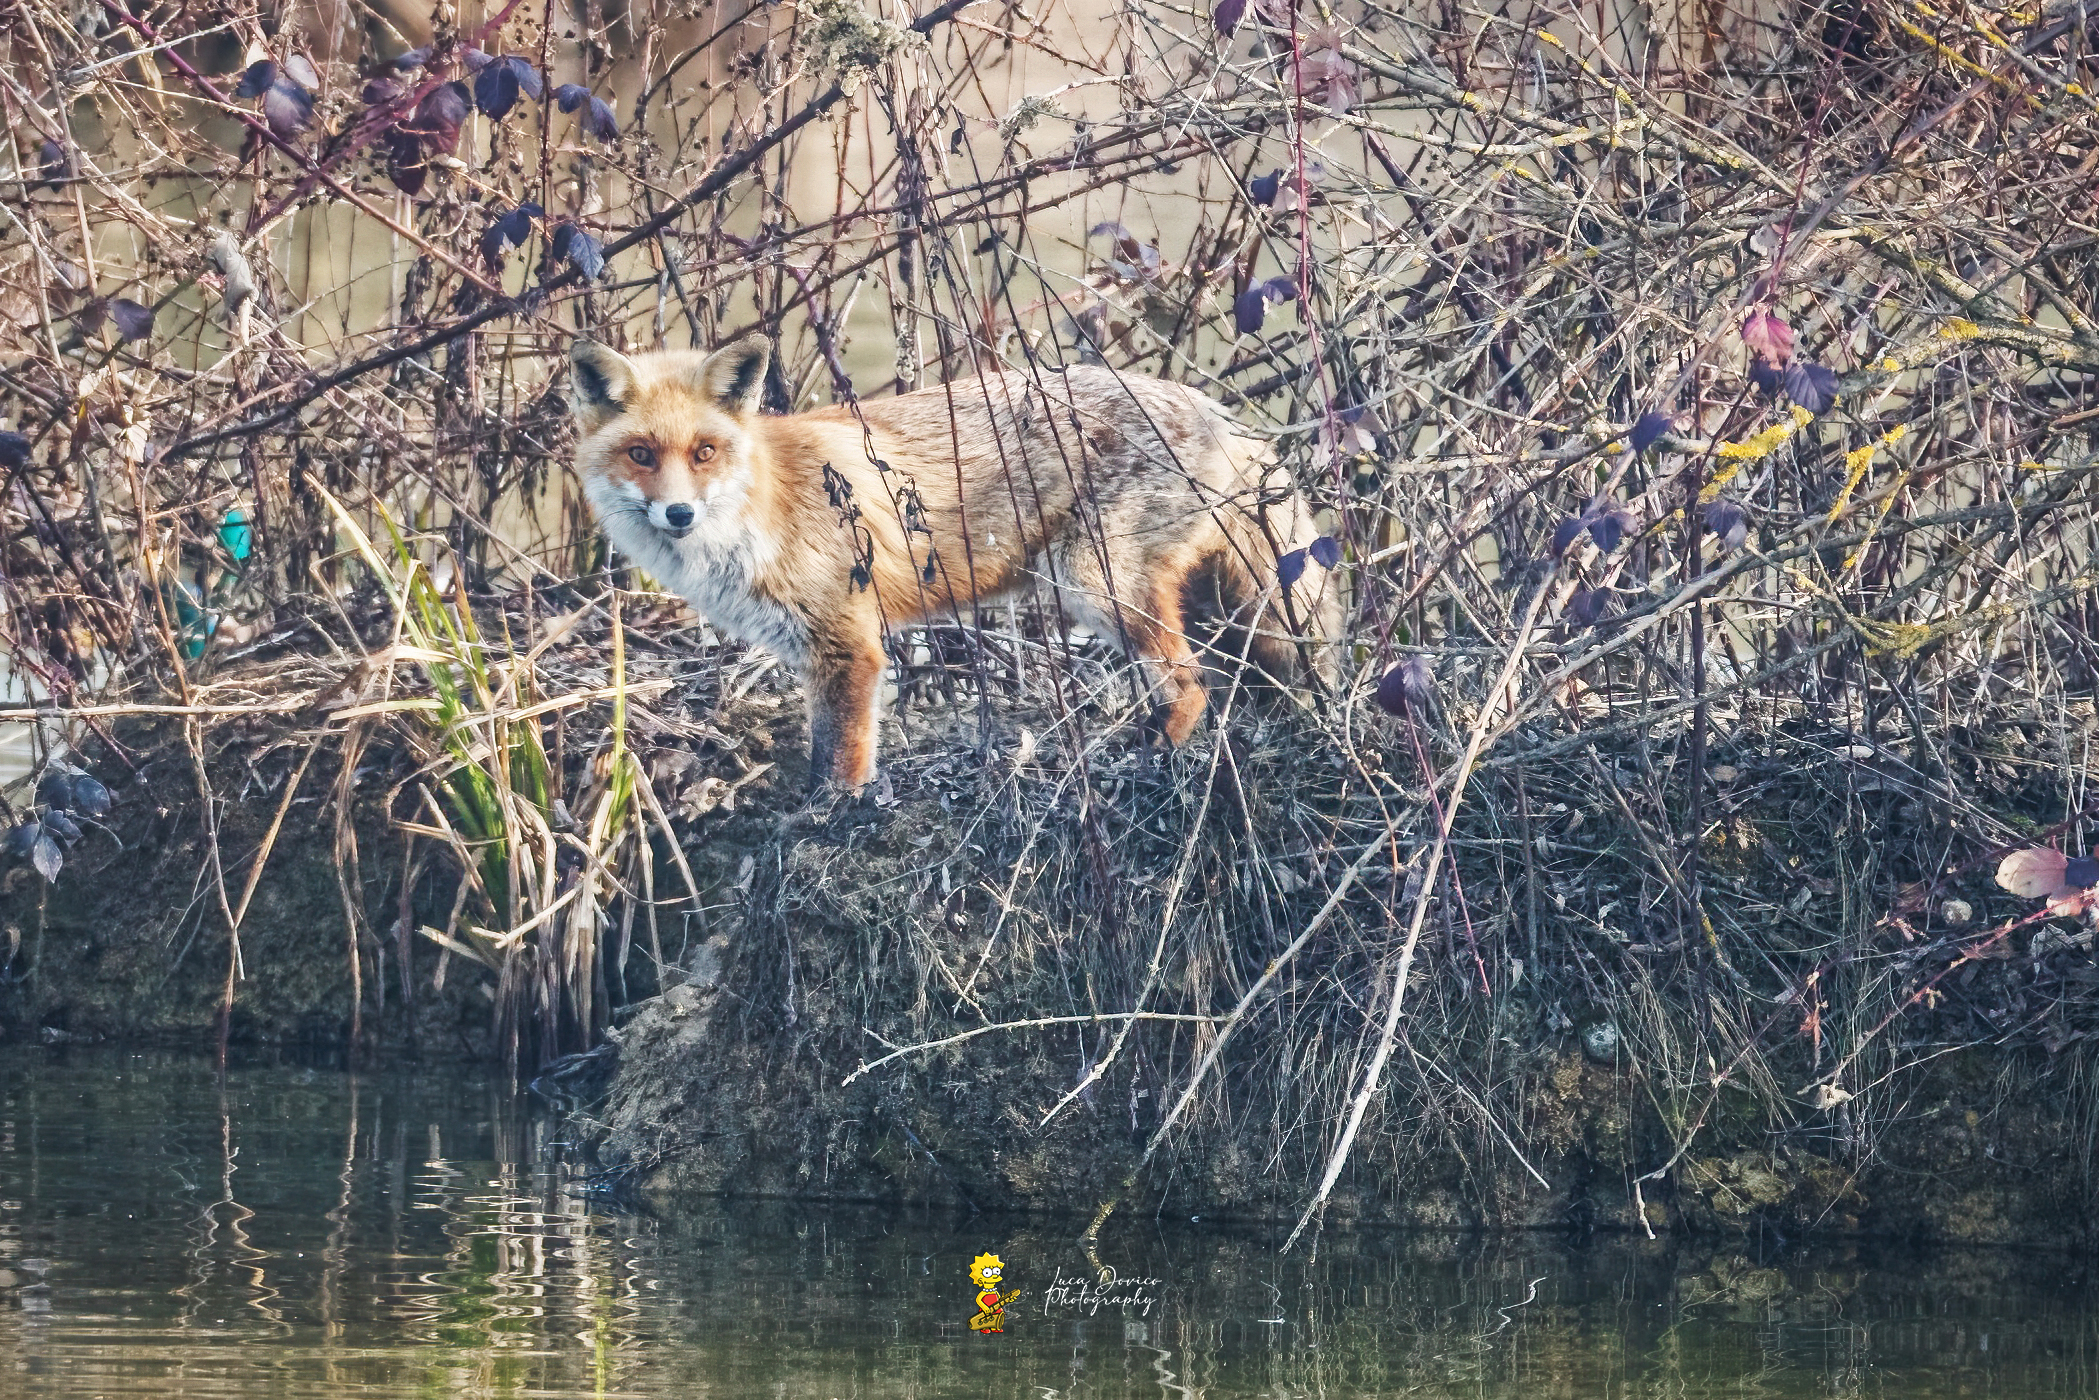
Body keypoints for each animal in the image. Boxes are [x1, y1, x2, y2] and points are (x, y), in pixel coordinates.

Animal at [567, 336, 1339, 793]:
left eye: (704, 452)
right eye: (641, 453)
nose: (678, 514)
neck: (760, 504)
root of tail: (1219, 410)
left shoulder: (850, 646)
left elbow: (843, 758)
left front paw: (832, 814)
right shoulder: (815, 654)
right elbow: (819, 746)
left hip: (1096, 582)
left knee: (1192, 684)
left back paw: (1155, 751)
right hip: (1193, 593)